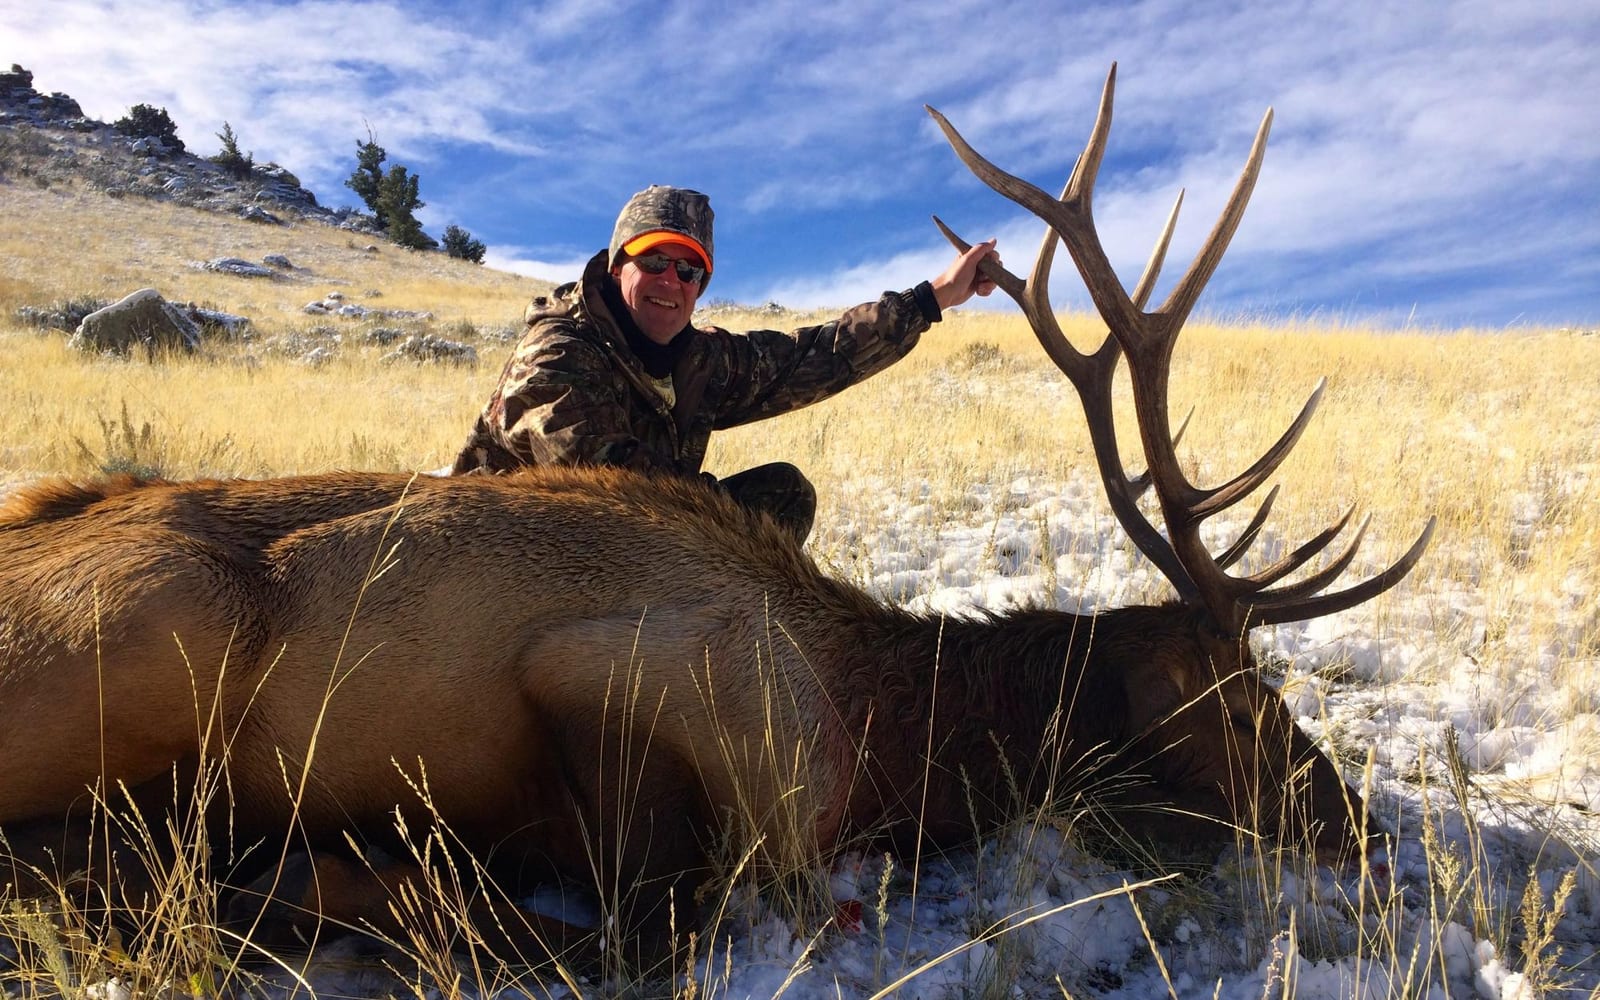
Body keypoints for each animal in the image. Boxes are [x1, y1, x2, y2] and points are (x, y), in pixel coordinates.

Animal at [0, 64, 1432, 971]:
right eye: (1236, 700)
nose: (1362, 832)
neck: (883, 726)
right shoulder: (633, 681)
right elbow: (654, 928)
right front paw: (362, 882)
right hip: (157, 635)